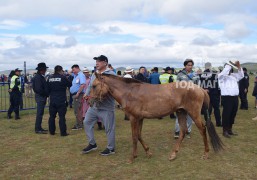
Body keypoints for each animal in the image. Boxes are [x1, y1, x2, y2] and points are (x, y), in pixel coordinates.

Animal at [89, 72, 222, 162]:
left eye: (94, 86)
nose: (88, 100)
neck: (130, 92)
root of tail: (200, 89)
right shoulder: (140, 118)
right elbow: (139, 135)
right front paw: (148, 152)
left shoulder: (133, 118)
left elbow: (134, 137)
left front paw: (132, 157)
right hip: (181, 112)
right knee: (183, 131)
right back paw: (173, 154)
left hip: (193, 113)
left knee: (202, 129)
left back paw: (206, 153)